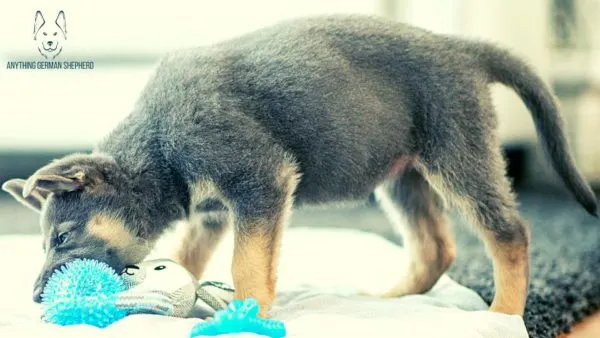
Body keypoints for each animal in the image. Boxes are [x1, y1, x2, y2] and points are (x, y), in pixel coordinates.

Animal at [2, 15, 596, 316]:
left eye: (60, 238)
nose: (32, 300)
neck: (159, 146)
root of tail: (463, 48)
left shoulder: (260, 180)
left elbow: (246, 265)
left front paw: (250, 316)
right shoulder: (213, 211)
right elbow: (189, 258)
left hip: (458, 154)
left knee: (510, 232)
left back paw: (503, 314)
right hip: (403, 175)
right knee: (435, 248)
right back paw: (392, 302)